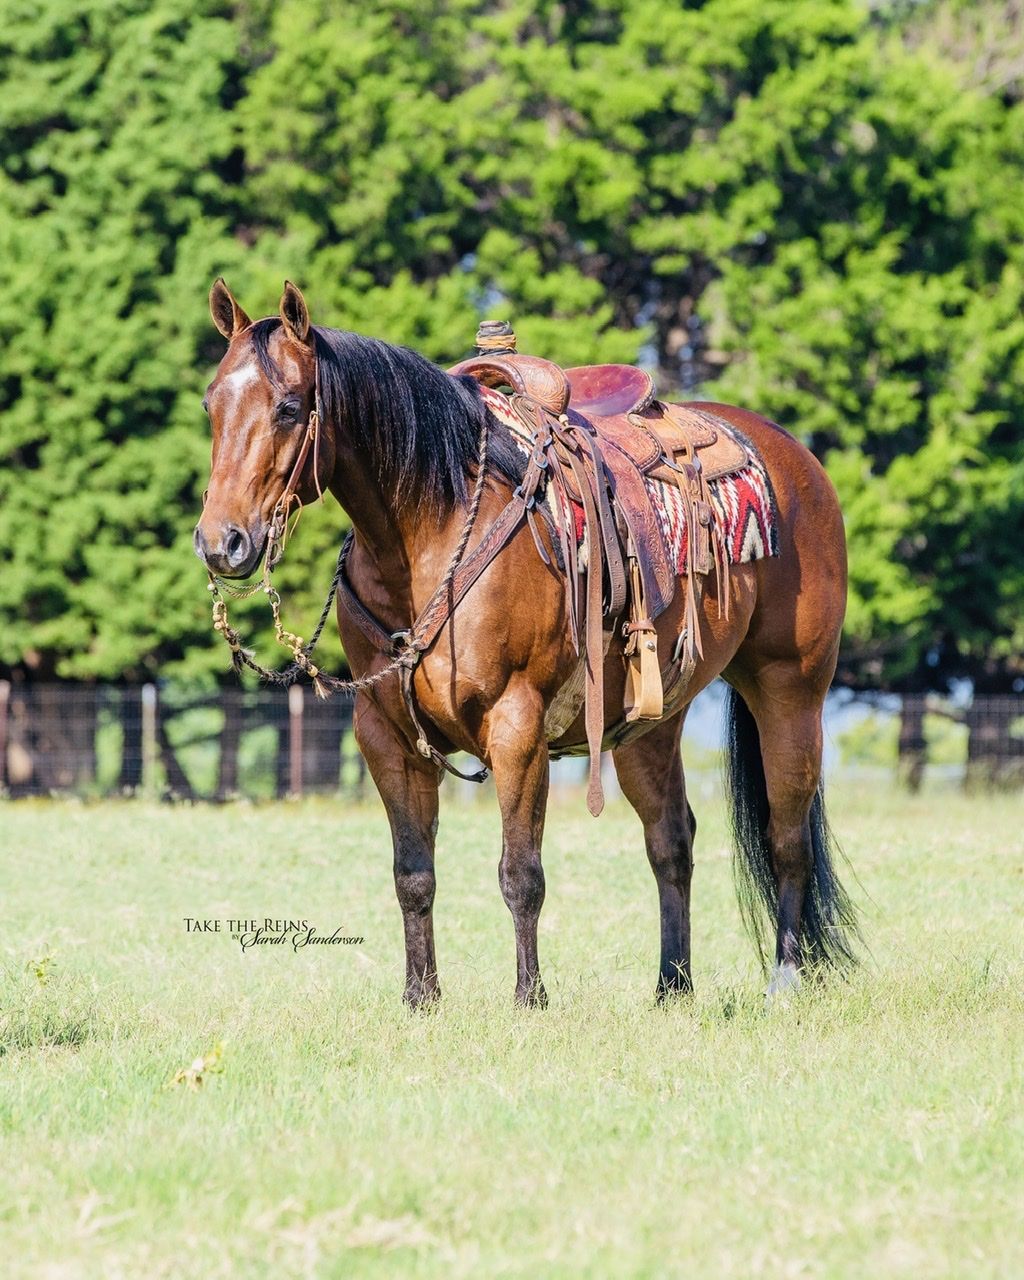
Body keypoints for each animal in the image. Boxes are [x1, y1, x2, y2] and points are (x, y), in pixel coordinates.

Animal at [194, 280, 855, 1008]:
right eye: (210, 403)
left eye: (288, 407)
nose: (221, 542)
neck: (432, 529)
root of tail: (794, 456)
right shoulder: (386, 737)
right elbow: (413, 875)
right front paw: (421, 999)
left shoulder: (517, 726)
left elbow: (521, 875)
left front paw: (528, 999)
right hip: (651, 723)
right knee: (671, 841)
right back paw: (671, 988)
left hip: (791, 690)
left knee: (787, 837)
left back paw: (784, 982)